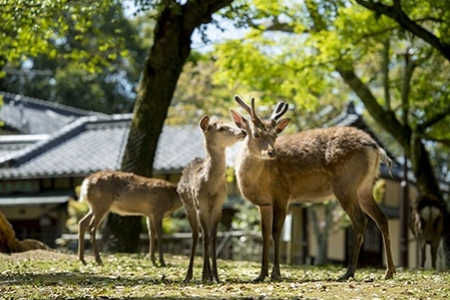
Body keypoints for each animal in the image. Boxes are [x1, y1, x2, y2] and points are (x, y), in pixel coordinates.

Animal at [177, 115, 246, 284]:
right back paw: (189, 276)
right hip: (188, 206)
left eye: (230, 123)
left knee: (204, 234)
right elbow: (205, 238)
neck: (211, 188)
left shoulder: (218, 207)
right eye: (221, 128)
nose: (243, 131)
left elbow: (213, 238)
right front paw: (206, 275)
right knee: (196, 236)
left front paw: (215, 276)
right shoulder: (200, 206)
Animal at [230, 96, 396, 282]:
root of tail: (375, 146)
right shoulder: (264, 203)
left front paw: (275, 273)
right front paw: (260, 275)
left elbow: (276, 232)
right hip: (365, 187)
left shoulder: (282, 194)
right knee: (382, 218)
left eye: (275, 135)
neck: (258, 181)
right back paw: (389, 271)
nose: (272, 153)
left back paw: (348, 272)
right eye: (256, 133)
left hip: (346, 184)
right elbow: (265, 233)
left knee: (360, 220)